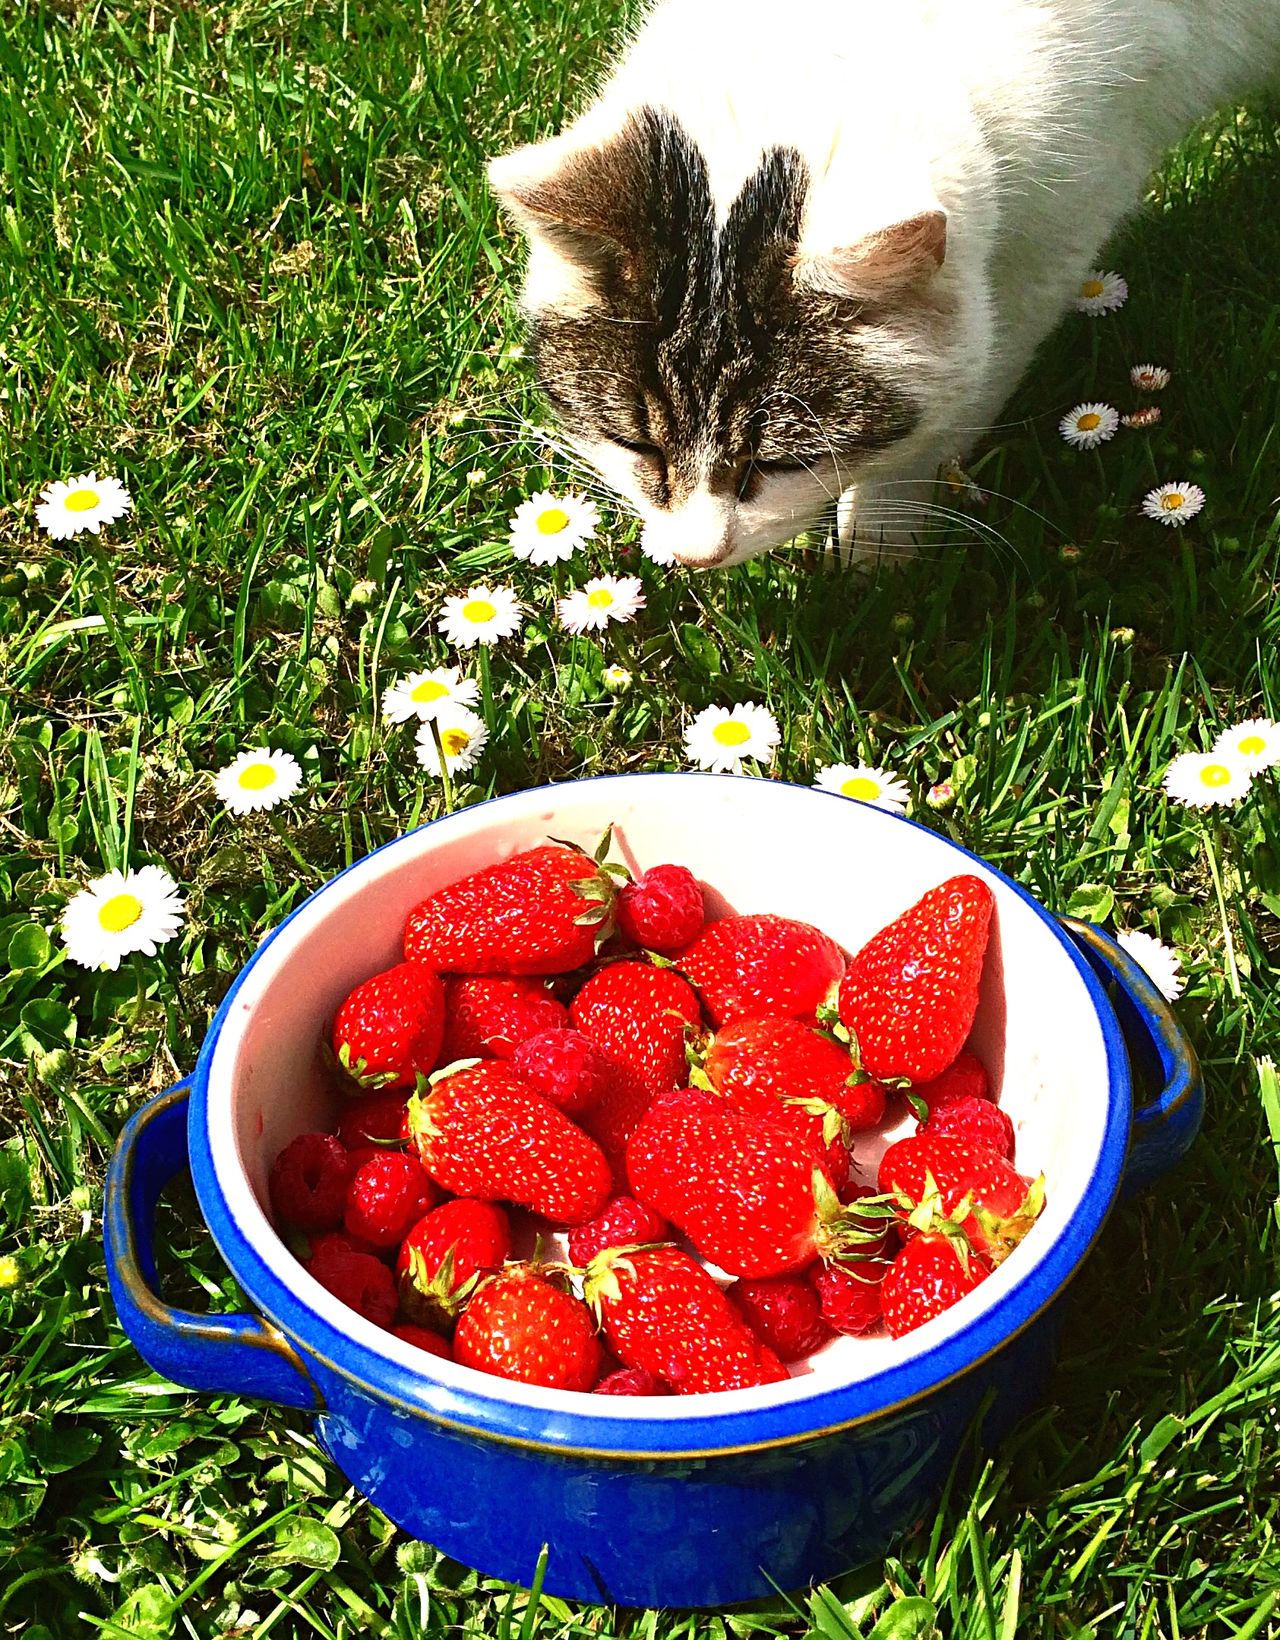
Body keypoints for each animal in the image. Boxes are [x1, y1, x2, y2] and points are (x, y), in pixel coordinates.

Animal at [489, 0, 1280, 570]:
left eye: (779, 462)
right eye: (640, 446)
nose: (694, 556)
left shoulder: (1054, 238)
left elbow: (951, 409)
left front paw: (877, 549)